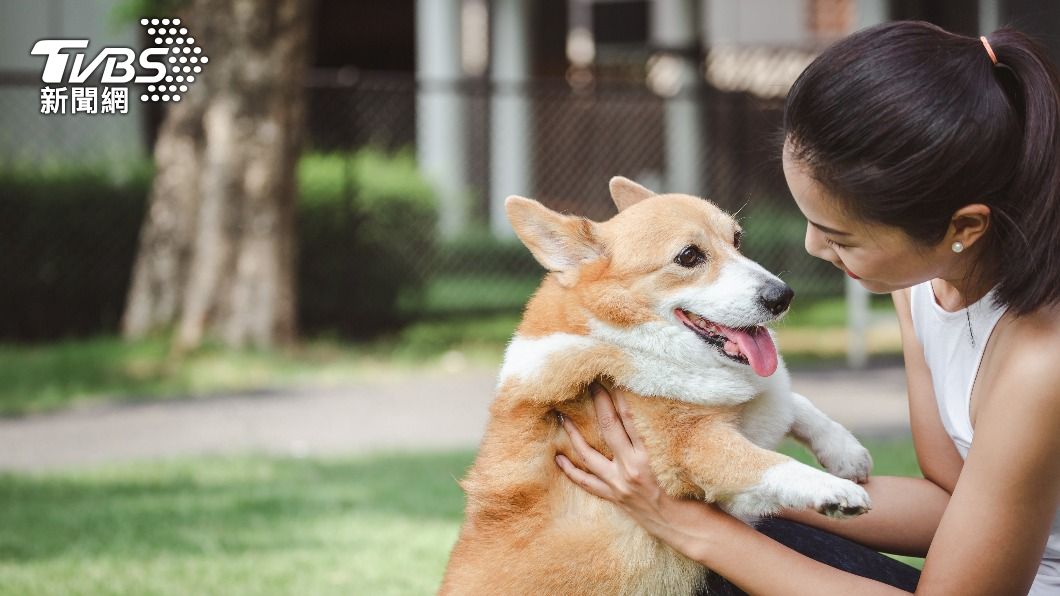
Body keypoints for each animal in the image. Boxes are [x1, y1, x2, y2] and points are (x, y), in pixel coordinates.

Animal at [436, 177, 869, 593]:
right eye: (689, 256)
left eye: (737, 240)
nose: (783, 296)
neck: (627, 337)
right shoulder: (692, 447)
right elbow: (767, 462)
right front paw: (834, 490)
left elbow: (793, 400)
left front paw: (845, 452)